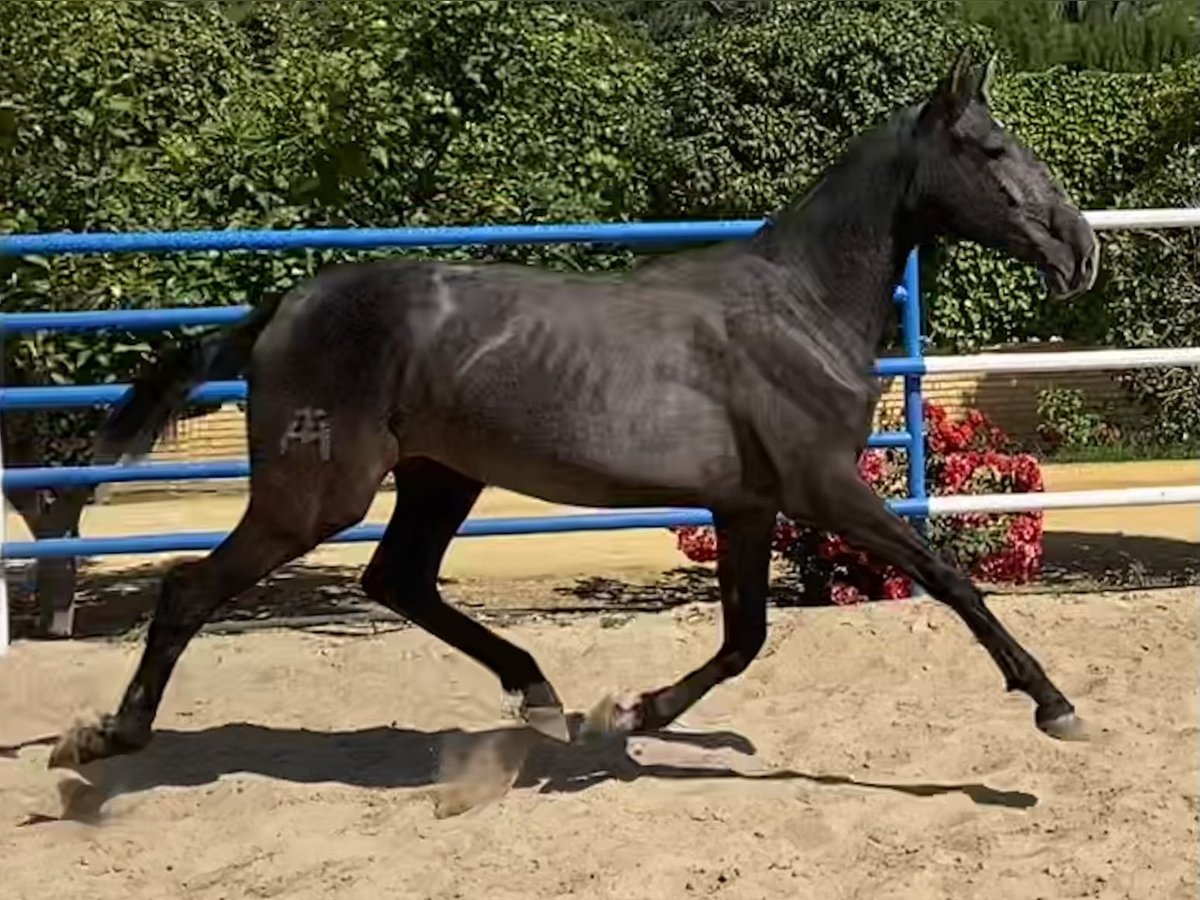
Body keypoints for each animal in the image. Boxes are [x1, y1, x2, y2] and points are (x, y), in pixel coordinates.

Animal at [46, 45, 1099, 772]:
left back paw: (543, 697)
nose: (1081, 250)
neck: (798, 307)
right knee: (191, 589)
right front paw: (1055, 705)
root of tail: (286, 306)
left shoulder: (747, 504)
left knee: (398, 580)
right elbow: (950, 579)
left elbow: (744, 638)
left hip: (440, 476)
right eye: (993, 148)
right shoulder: (823, 489)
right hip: (318, 493)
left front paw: (628, 715)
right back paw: (105, 740)